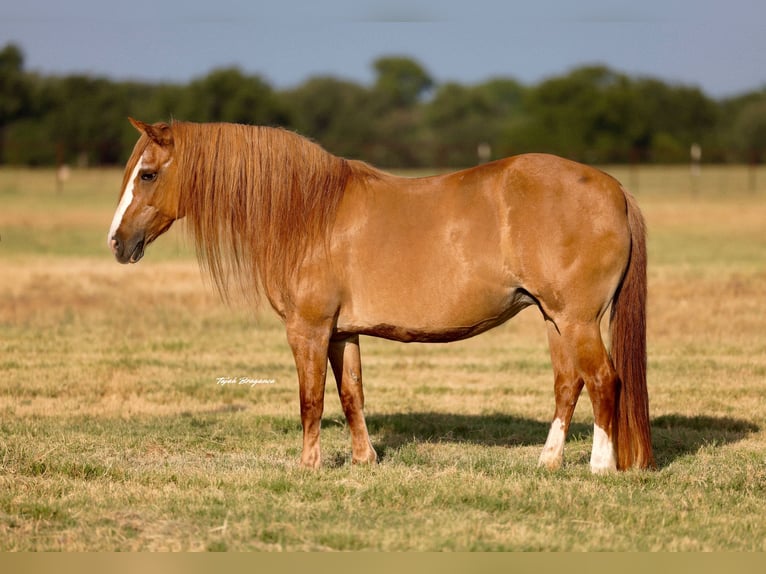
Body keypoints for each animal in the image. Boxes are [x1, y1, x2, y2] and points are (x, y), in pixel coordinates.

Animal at [108, 118, 654, 473]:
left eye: (148, 174)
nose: (117, 242)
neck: (307, 213)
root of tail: (614, 189)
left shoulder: (308, 329)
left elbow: (310, 399)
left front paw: (309, 466)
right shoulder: (341, 332)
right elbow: (351, 394)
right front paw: (363, 459)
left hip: (577, 320)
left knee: (604, 381)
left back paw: (600, 467)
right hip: (554, 318)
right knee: (568, 384)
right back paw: (547, 462)